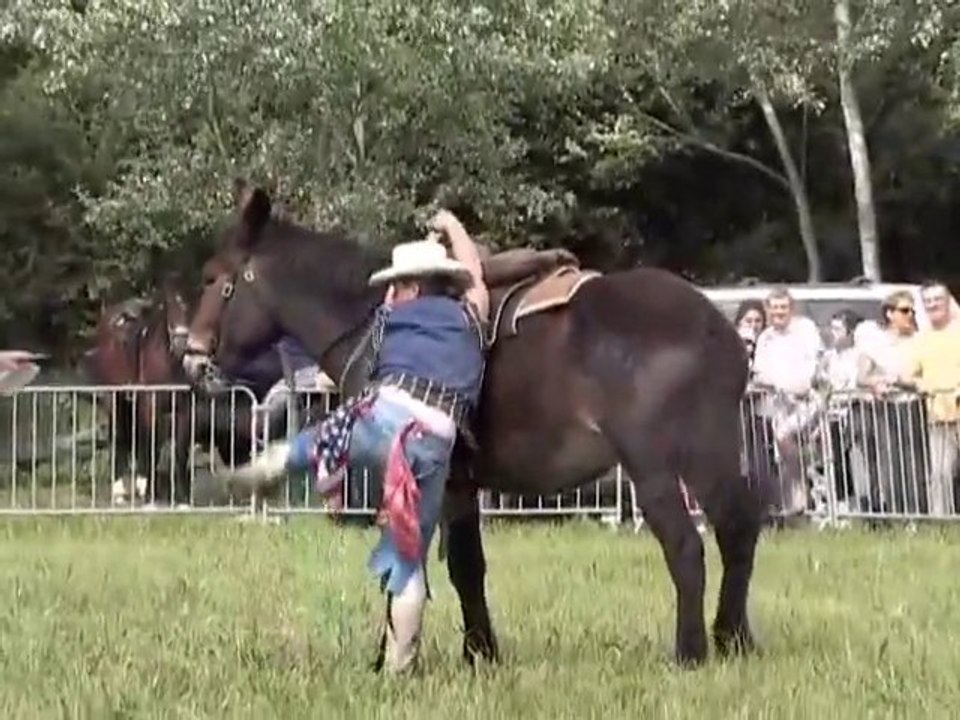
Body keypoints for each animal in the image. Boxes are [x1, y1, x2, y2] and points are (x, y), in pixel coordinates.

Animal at [182, 181, 762, 669]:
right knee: (737, 529)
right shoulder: (461, 481)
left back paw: (690, 651)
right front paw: (479, 651)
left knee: (685, 545)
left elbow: (450, 564)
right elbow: (467, 565)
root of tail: (717, 330)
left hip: (654, 465)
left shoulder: (436, 474)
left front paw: (464, 651)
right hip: (712, 451)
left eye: (214, 279)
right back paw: (733, 638)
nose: (191, 357)